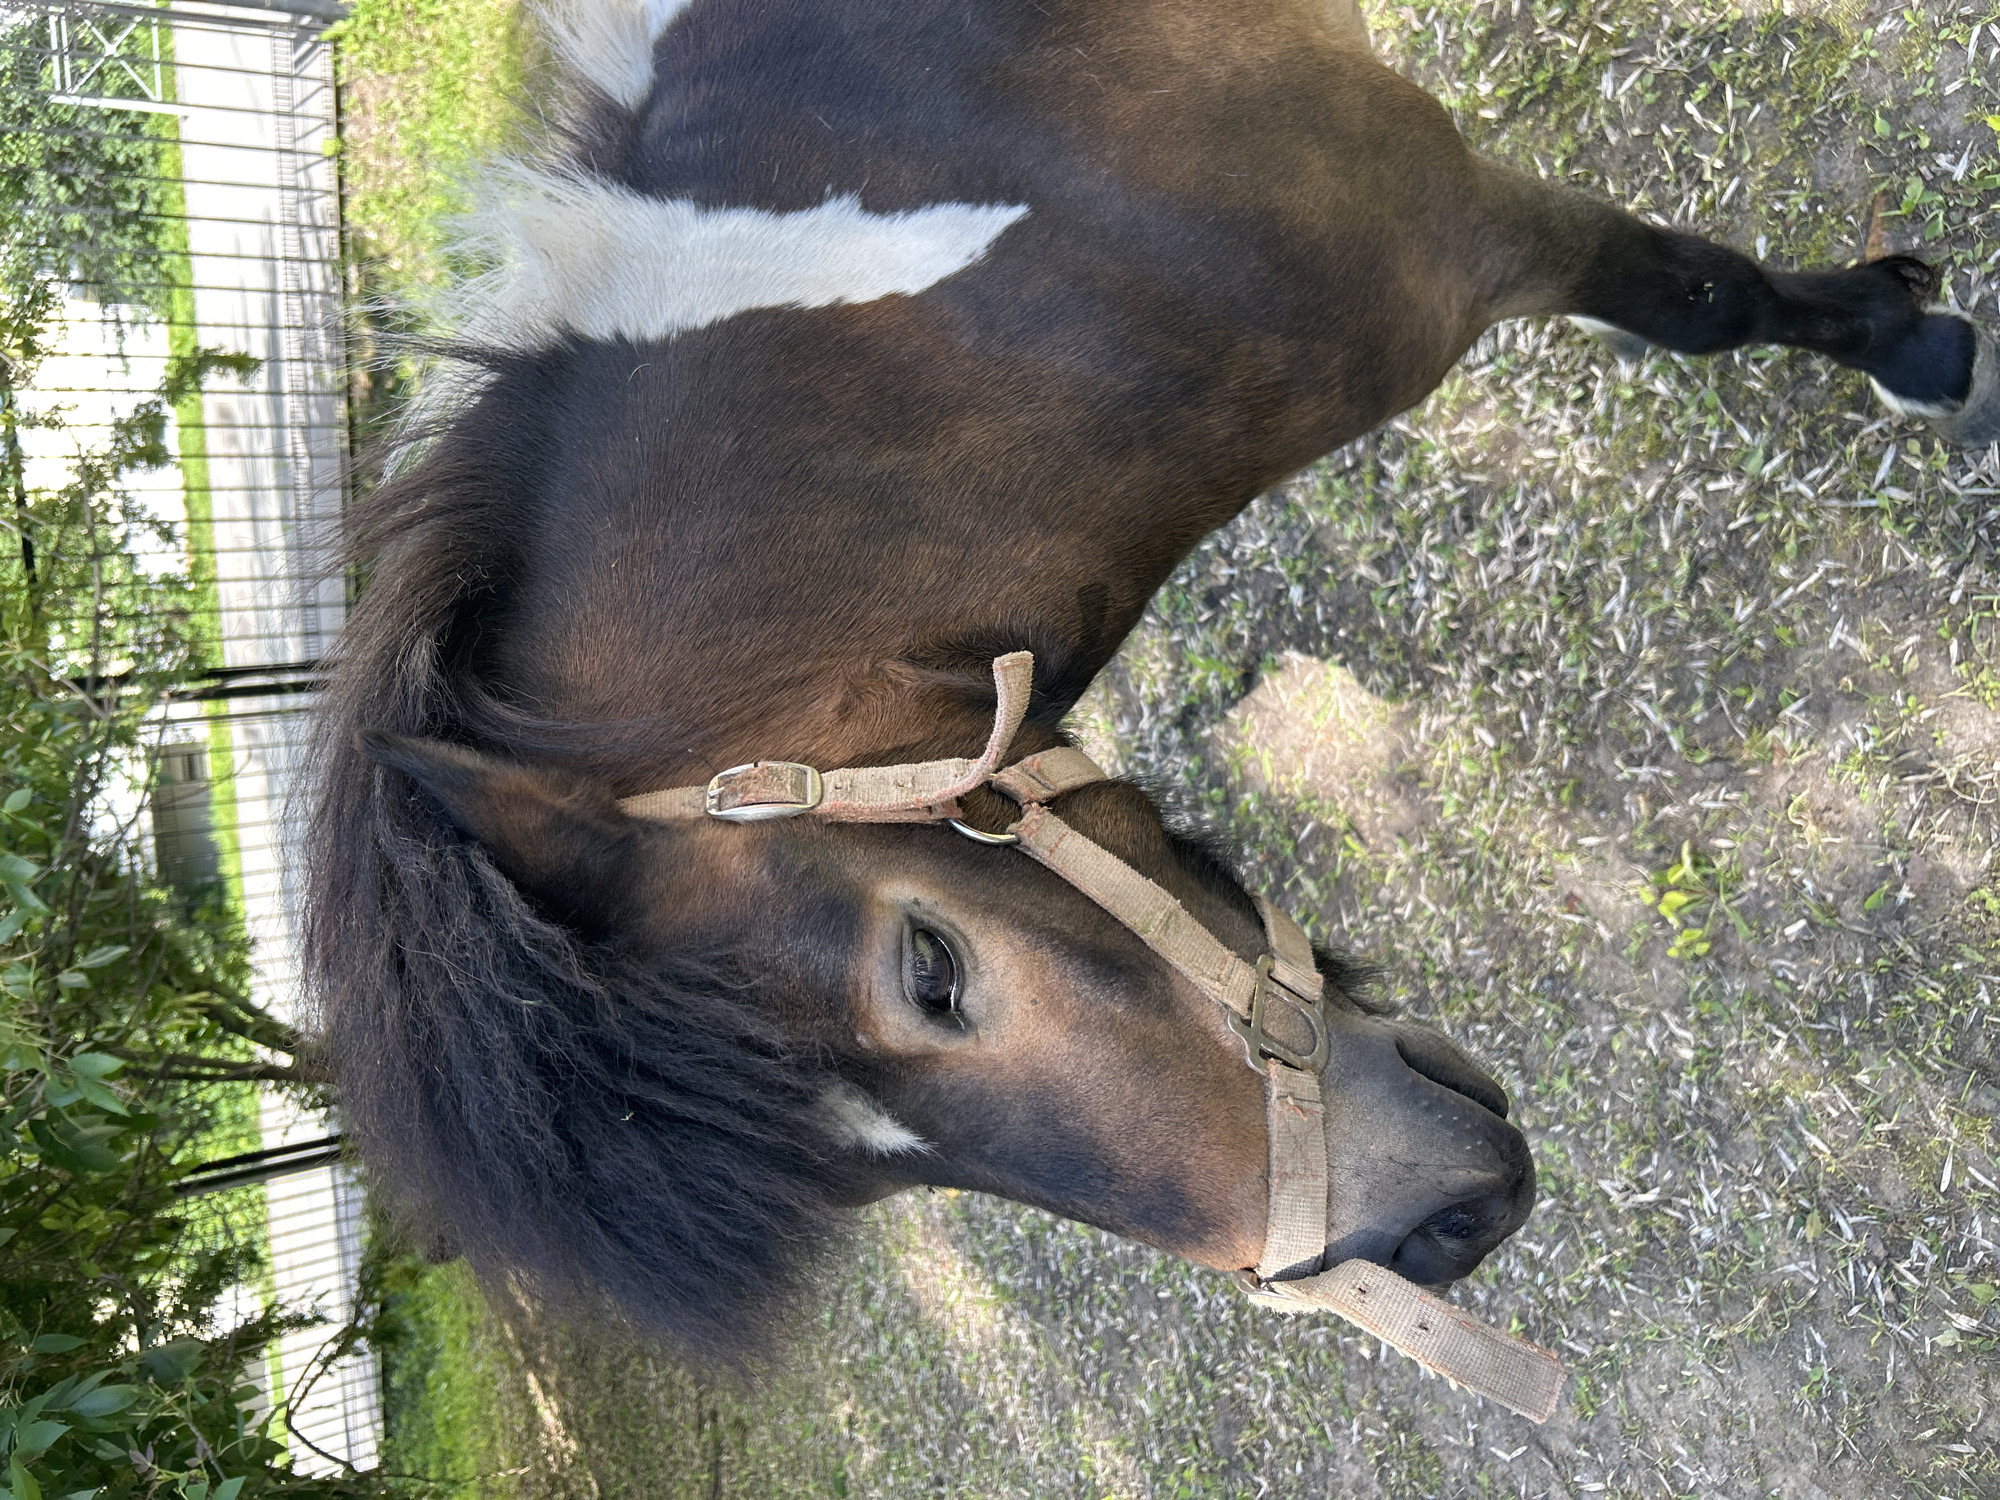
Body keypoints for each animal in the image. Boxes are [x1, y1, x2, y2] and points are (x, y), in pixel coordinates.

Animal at [305, 0, 1999, 1369]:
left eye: (932, 971)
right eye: (873, 1178)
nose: (1439, 1234)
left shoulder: (1463, 218)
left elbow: (1699, 300)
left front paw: (1912, 347)